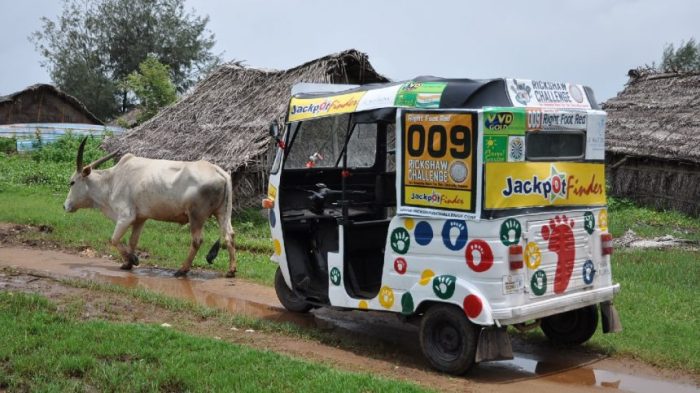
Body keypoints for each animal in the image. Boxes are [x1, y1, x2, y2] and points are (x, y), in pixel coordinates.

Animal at [66, 139, 241, 278]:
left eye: (72, 182)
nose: (65, 205)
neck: (111, 181)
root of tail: (219, 171)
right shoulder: (140, 218)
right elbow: (133, 241)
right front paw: (128, 264)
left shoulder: (125, 216)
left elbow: (114, 240)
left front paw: (134, 259)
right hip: (222, 213)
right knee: (229, 235)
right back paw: (231, 270)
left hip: (196, 216)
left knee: (197, 240)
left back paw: (182, 270)